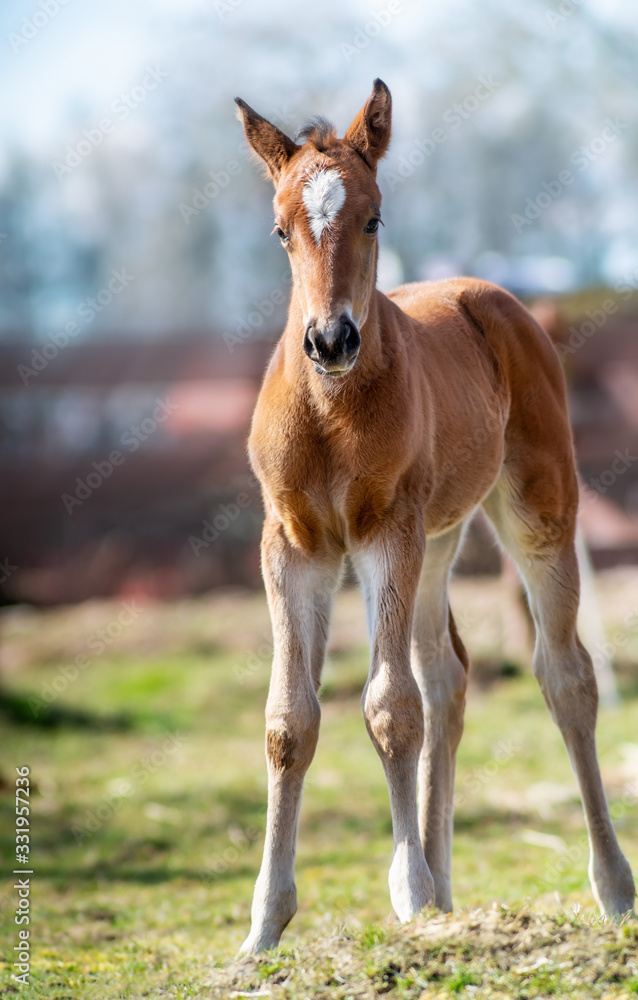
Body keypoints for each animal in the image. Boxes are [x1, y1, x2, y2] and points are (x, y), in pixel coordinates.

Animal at [234, 79, 635, 954]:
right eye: (279, 230)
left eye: (374, 217)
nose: (330, 339)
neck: (330, 412)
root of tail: (497, 297)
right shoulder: (293, 545)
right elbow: (290, 721)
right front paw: (264, 928)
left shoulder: (386, 531)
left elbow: (389, 707)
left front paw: (409, 896)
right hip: (440, 539)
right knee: (448, 676)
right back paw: (449, 891)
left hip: (533, 512)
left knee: (565, 678)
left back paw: (612, 889)